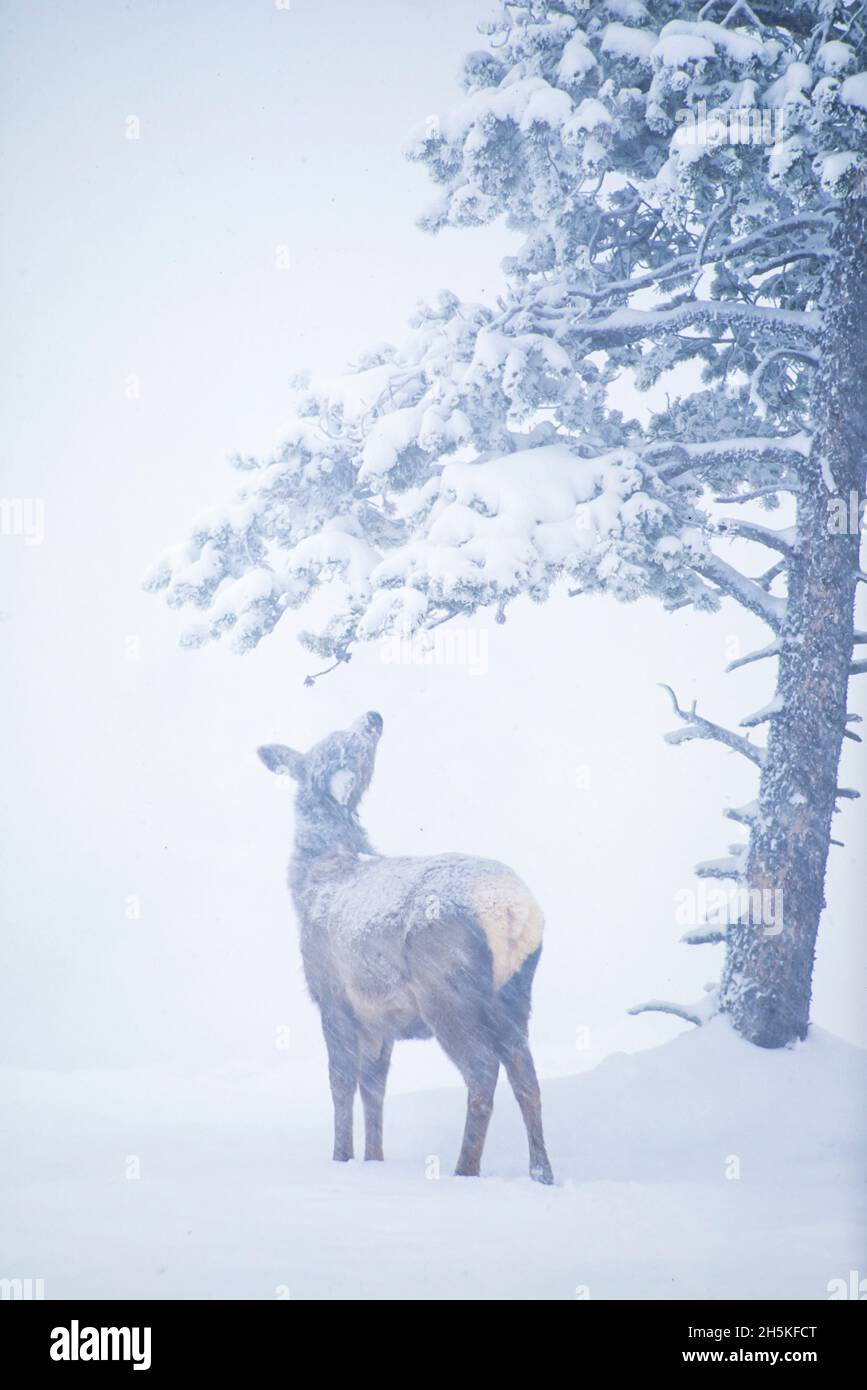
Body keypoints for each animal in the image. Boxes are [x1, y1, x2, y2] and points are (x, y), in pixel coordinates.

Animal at [258, 711, 554, 1184]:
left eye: (347, 745)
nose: (373, 716)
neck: (313, 881)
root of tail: (512, 909)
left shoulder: (333, 996)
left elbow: (341, 1083)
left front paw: (341, 1158)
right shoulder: (380, 1018)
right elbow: (374, 1087)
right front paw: (374, 1158)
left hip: (446, 988)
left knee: (482, 1070)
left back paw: (465, 1170)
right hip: (515, 991)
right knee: (526, 1075)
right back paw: (542, 1172)